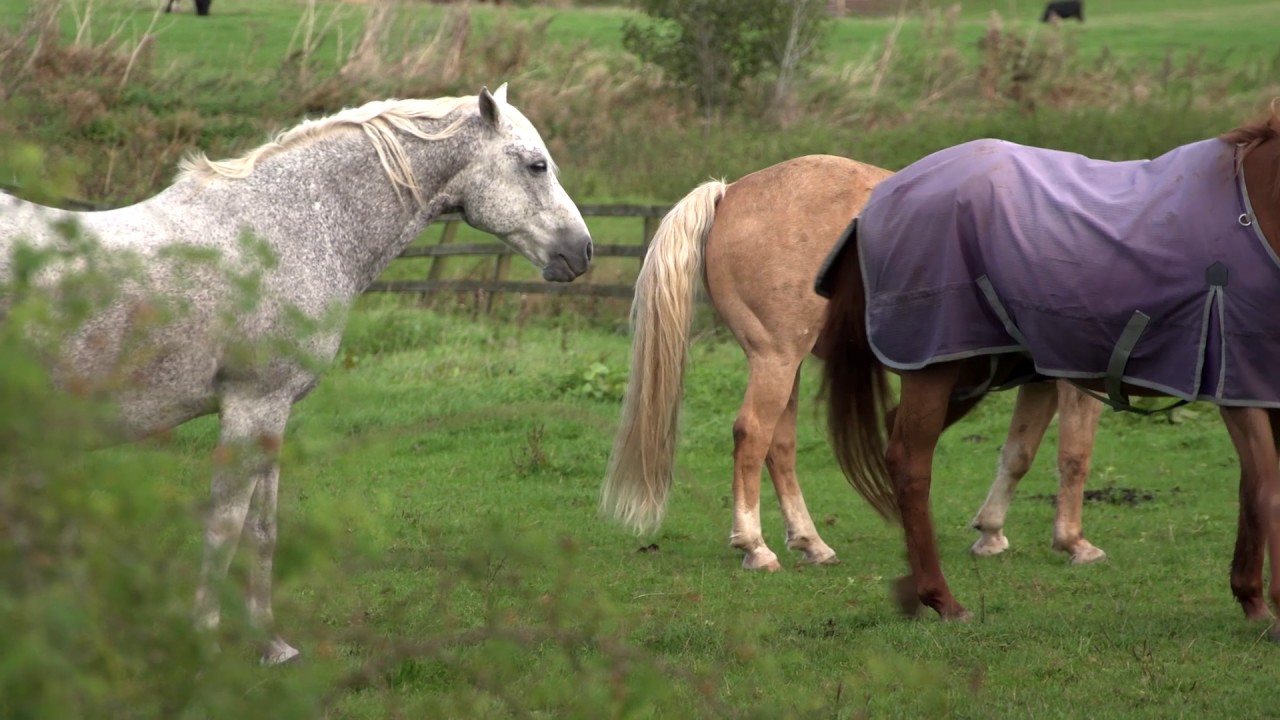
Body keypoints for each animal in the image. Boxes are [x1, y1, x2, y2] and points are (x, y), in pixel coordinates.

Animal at [0, 84, 593, 663]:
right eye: (537, 165)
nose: (583, 251)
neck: (285, 229)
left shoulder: (272, 414)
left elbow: (263, 529)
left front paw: (270, 643)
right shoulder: (253, 405)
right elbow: (225, 526)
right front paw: (203, 642)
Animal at [600, 154, 1107, 570]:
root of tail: (731, 193)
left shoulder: (1040, 380)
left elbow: (1019, 453)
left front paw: (992, 532)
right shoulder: (1079, 381)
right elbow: (1074, 456)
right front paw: (1075, 542)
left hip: (785, 364)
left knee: (779, 446)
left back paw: (810, 543)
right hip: (776, 359)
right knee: (752, 436)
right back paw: (755, 546)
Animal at [815, 104, 1280, 634]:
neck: (1255, 211)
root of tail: (879, 200)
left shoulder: (1258, 388)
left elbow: (1251, 488)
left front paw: (1251, 599)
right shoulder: (1238, 384)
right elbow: (1266, 489)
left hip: (968, 371)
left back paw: (914, 587)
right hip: (935, 366)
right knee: (910, 463)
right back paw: (943, 600)